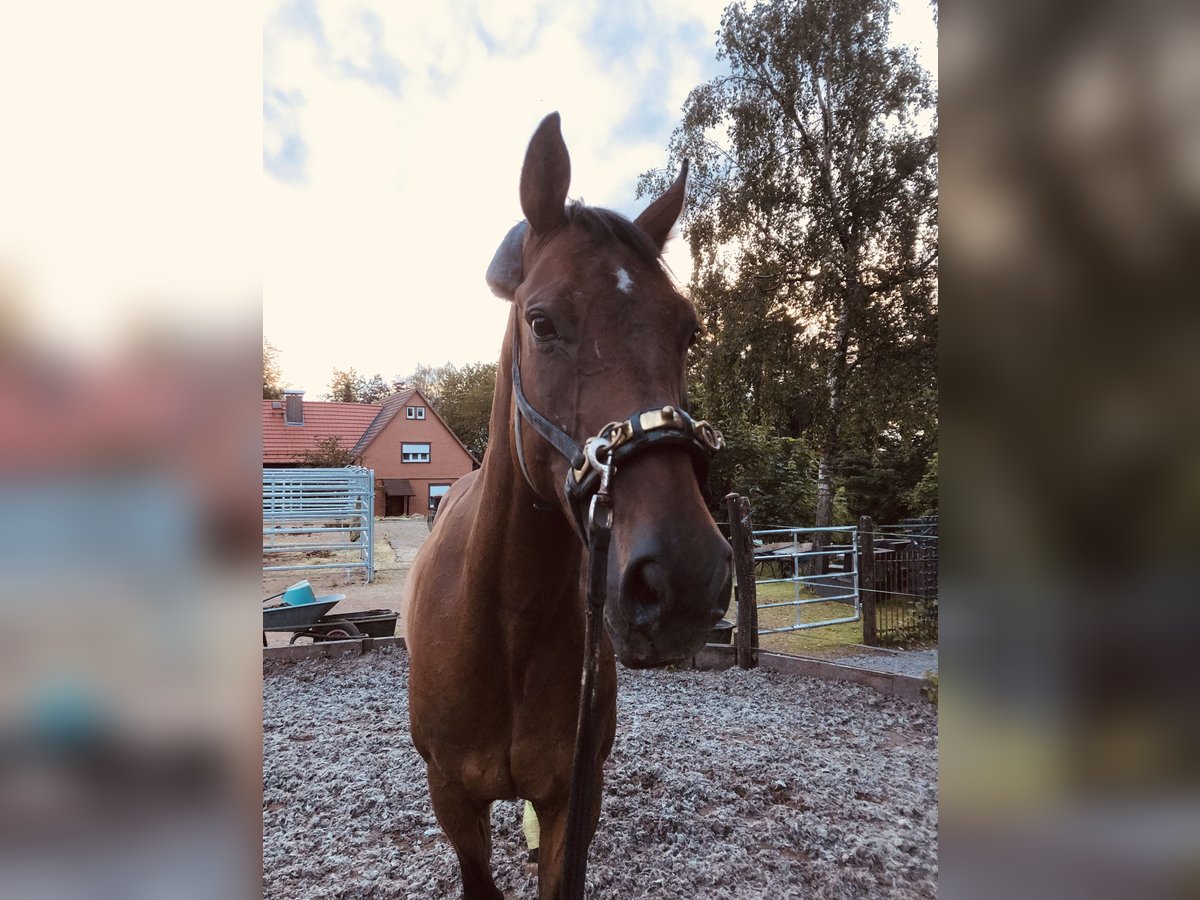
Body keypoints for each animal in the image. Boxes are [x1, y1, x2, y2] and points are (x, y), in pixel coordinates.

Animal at [405, 114, 729, 900]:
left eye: (688, 330)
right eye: (542, 323)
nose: (684, 578)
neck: (503, 625)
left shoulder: (574, 799)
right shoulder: (451, 799)